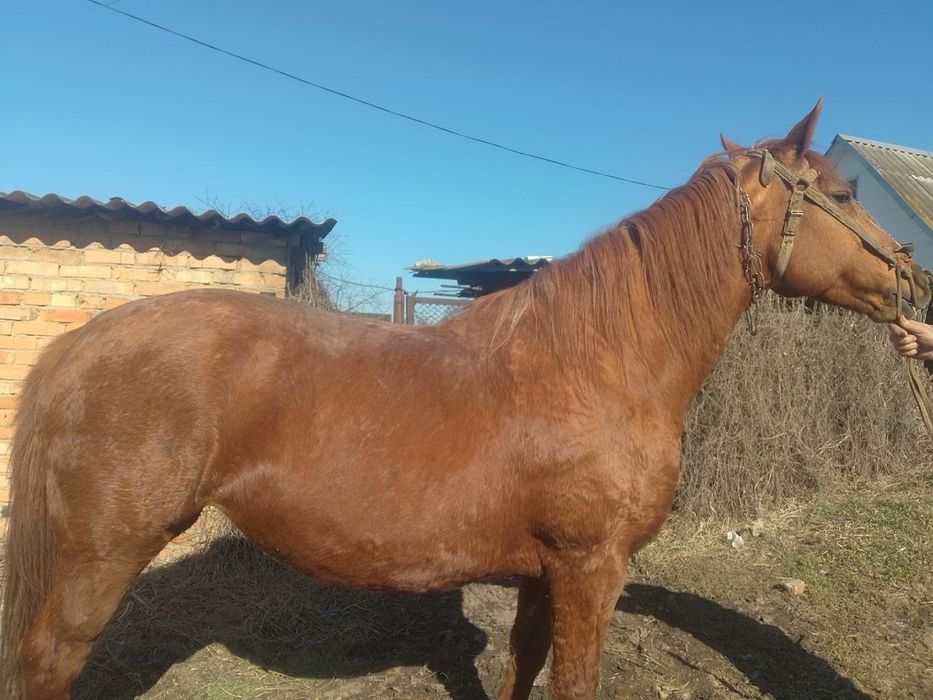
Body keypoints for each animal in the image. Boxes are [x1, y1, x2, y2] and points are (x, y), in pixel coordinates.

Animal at [1, 100, 928, 700]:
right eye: (842, 196)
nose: (910, 280)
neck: (598, 363)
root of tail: (81, 342)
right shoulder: (592, 568)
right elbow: (573, 684)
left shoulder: (543, 575)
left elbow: (521, 668)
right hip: (100, 558)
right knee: (49, 663)